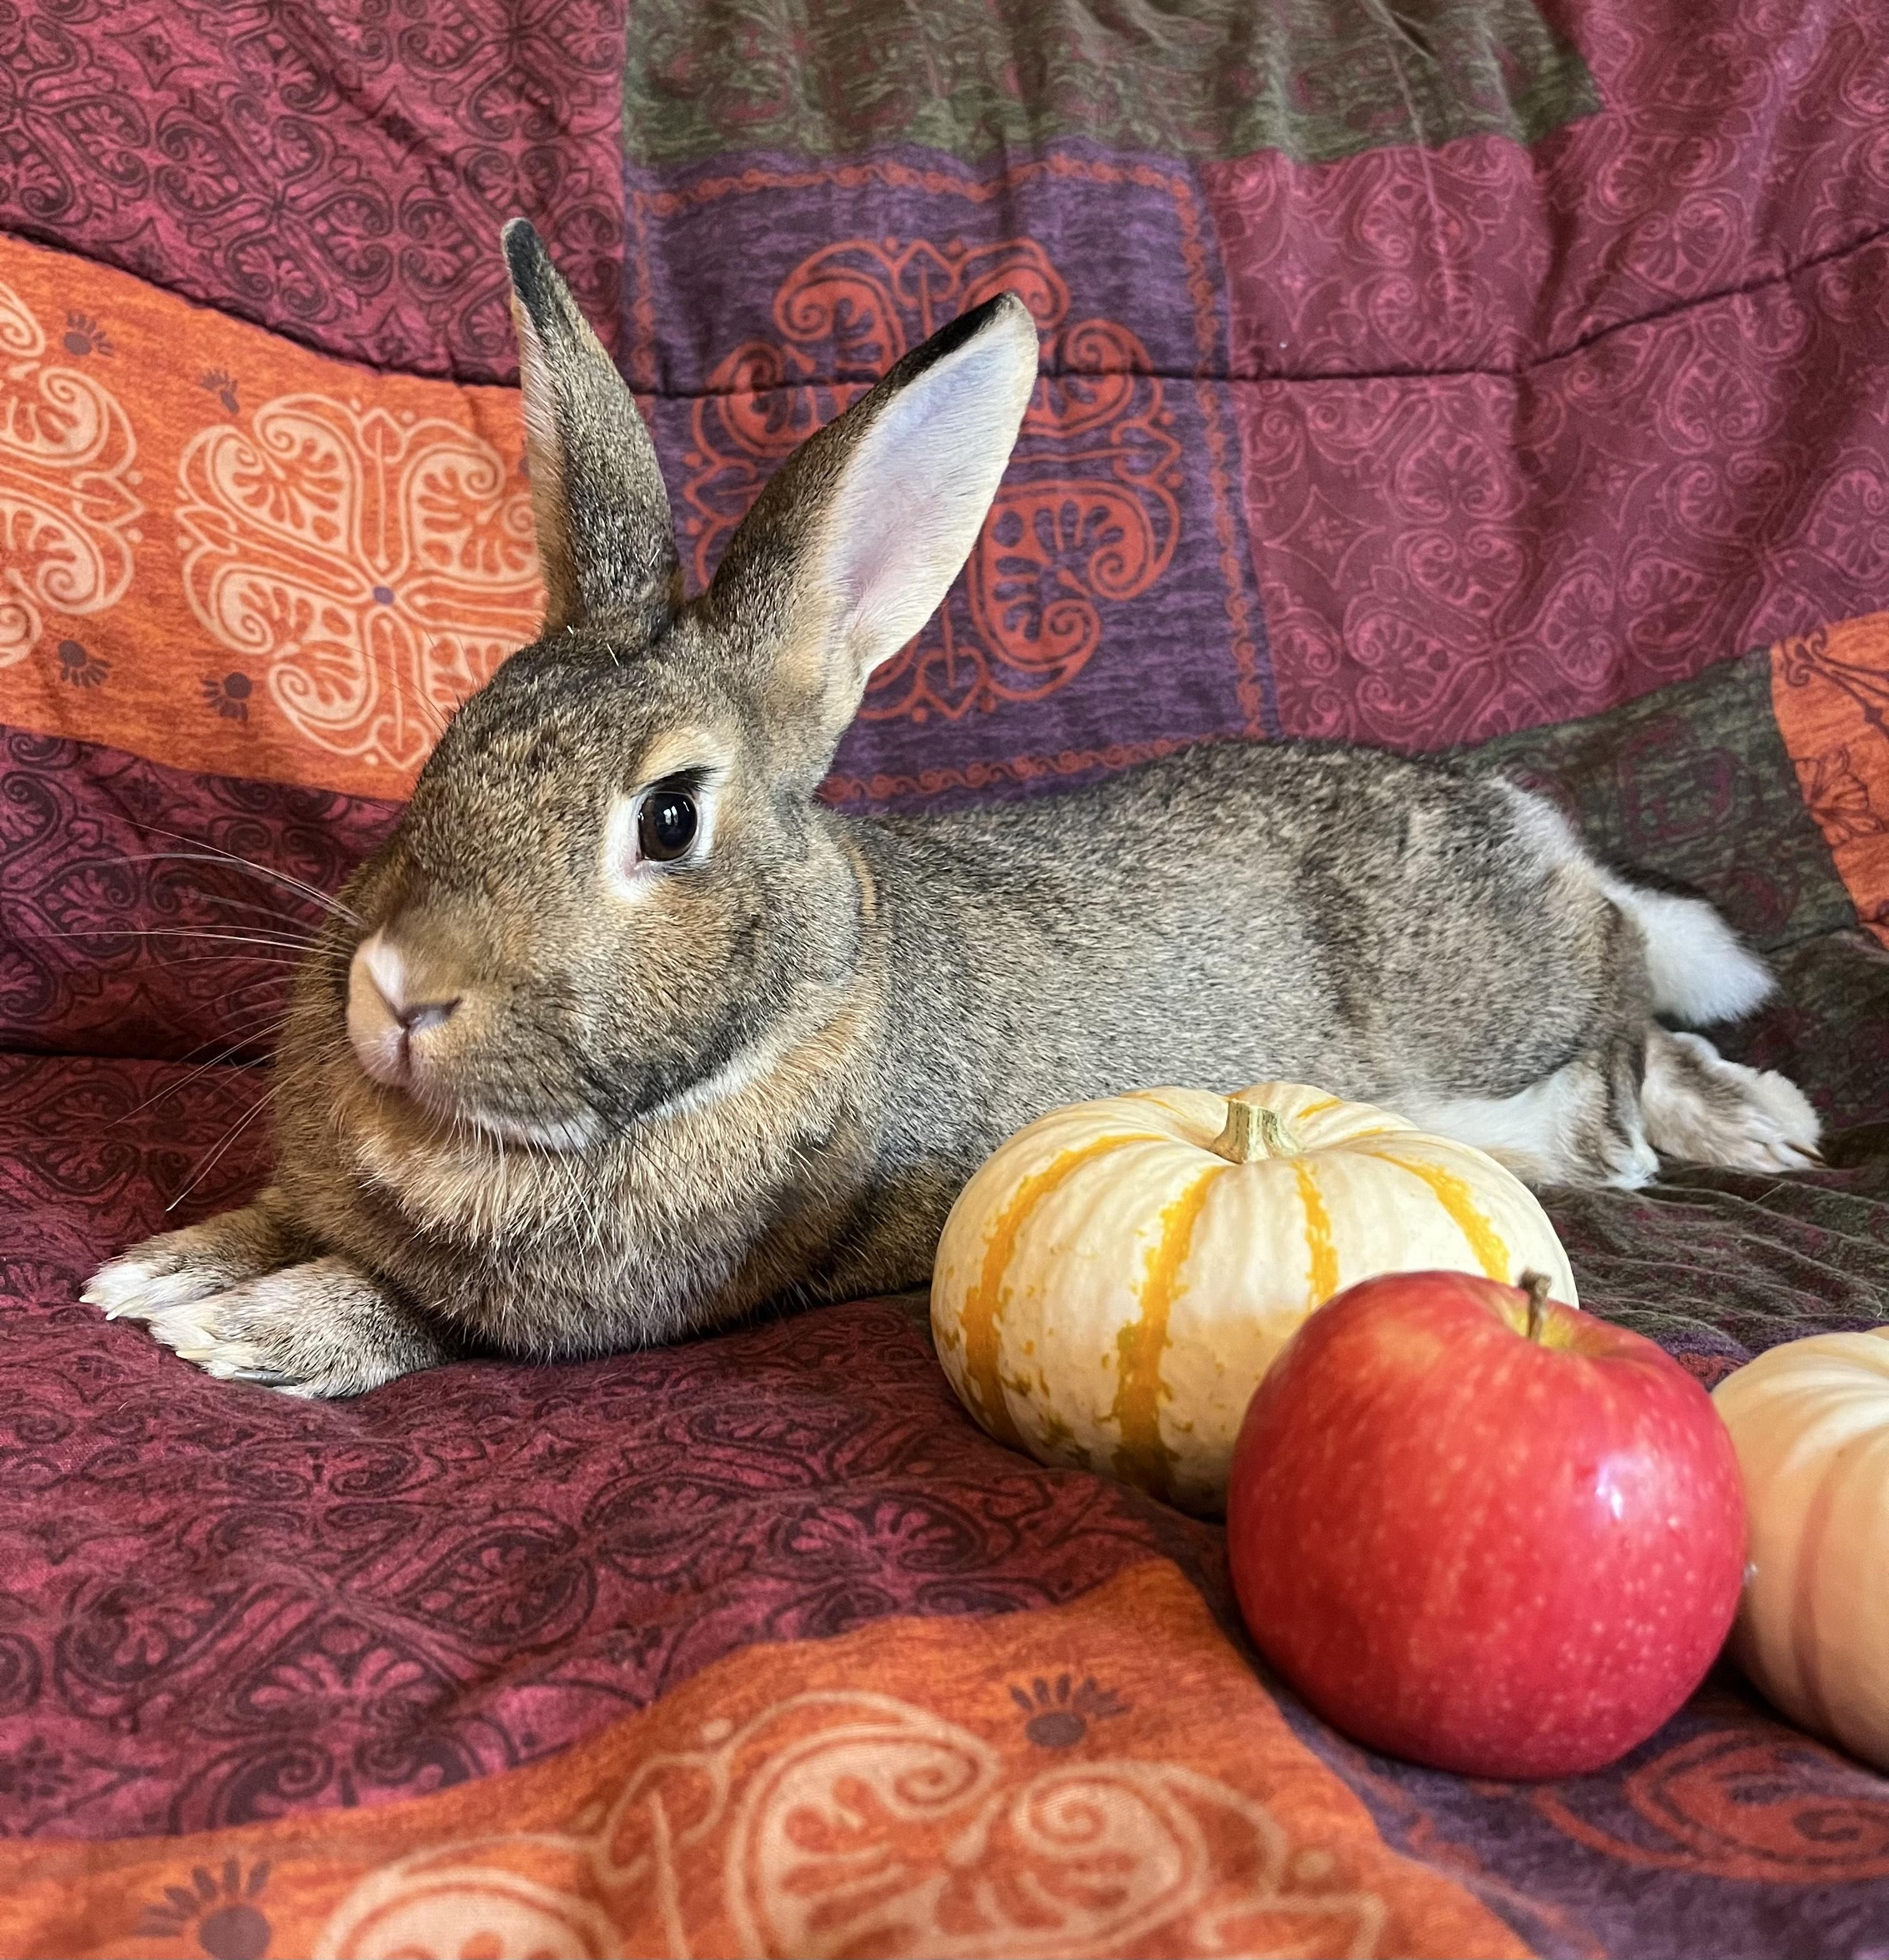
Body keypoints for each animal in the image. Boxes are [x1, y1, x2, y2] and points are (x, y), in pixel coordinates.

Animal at [82, 220, 1822, 1398]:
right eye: (454, 737)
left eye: (669, 820)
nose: (397, 995)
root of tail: (1523, 817)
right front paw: (163, 1263)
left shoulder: (640, 1296)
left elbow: (423, 1313)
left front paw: (250, 1326)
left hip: (1491, 997)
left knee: (1626, 1003)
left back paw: (1741, 1124)